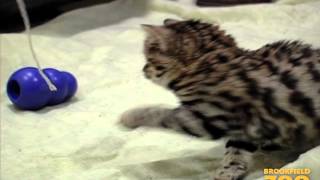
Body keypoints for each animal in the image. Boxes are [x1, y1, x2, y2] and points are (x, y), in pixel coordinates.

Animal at [120, 18, 320, 180]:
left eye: (149, 59)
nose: (143, 70)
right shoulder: (244, 126)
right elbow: (236, 149)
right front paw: (229, 171)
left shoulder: (208, 118)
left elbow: (161, 114)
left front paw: (130, 117)